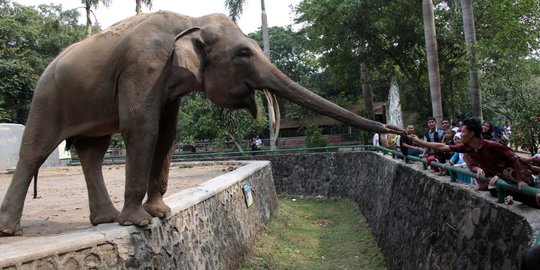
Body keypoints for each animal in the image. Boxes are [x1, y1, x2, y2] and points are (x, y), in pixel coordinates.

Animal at [0, 11, 404, 235]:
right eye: (243, 53)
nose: (400, 132)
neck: (189, 21)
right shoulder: (142, 65)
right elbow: (141, 128)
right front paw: (141, 223)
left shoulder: (168, 82)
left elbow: (167, 133)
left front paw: (161, 214)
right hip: (47, 97)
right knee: (35, 151)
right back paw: (11, 229)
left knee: (92, 153)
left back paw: (105, 219)